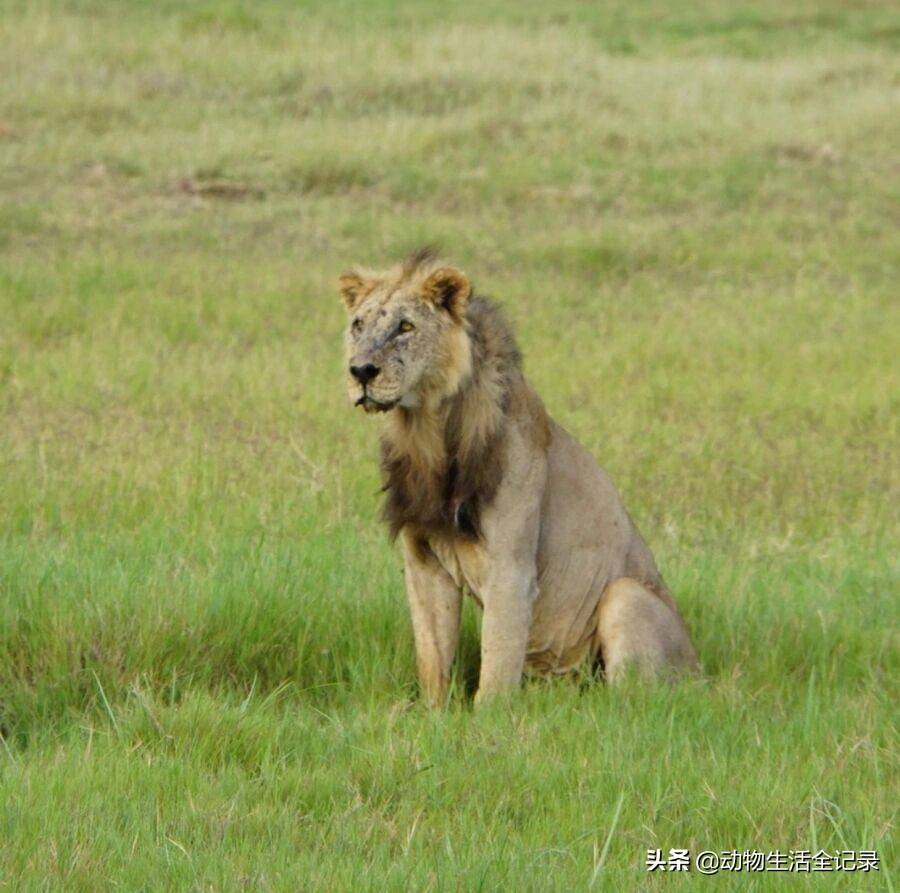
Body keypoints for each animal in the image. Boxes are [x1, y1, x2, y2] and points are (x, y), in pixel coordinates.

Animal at [342, 246, 700, 704]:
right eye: (358, 325)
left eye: (405, 326)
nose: (361, 372)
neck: (426, 433)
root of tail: (701, 671)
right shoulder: (423, 562)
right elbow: (432, 655)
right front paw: (432, 712)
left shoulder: (511, 567)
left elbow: (497, 659)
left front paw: (487, 717)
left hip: (626, 596)